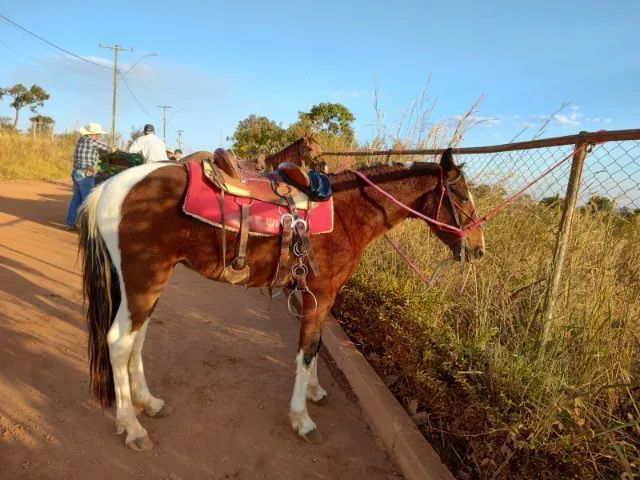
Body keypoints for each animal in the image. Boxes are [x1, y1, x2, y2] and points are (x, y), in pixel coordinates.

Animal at [77, 148, 485, 451]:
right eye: (462, 196)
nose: (479, 249)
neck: (348, 211)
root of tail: (111, 187)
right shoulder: (321, 294)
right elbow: (306, 351)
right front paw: (301, 418)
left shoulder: (317, 297)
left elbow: (314, 346)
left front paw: (315, 391)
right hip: (143, 279)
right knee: (118, 342)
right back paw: (131, 425)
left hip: (148, 284)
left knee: (137, 338)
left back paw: (147, 402)